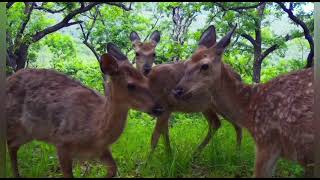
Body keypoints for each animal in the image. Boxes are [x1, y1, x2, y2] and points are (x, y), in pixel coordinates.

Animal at [5, 43, 165, 178]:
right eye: (130, 85)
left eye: (146, 80)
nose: (159, 107)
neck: (95, 130)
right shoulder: (62, 142)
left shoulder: (100, 150)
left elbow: (113, 169)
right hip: (14, 123)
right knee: (10, 145)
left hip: (29, 132)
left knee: (12, 145)